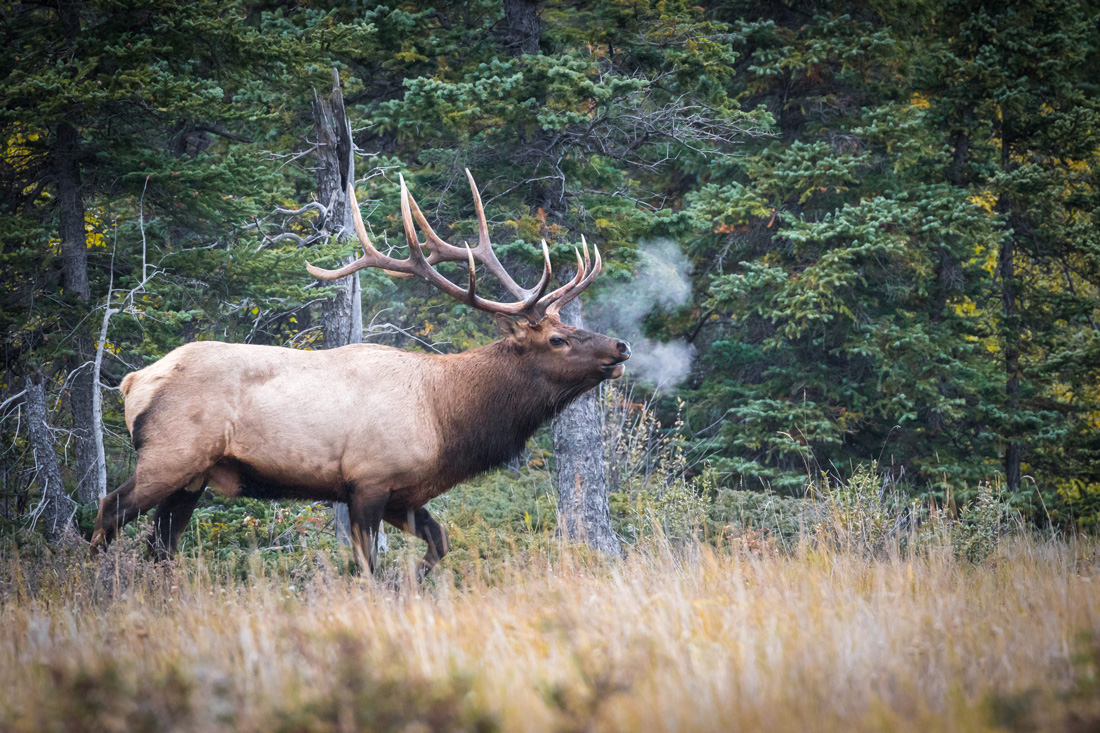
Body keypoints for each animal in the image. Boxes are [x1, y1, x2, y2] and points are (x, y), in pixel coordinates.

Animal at [91, 172, 633, 576]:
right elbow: (369, 567)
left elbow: (440, 543)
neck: (446, 421)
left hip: (194, 478)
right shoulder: (368, 479)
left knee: (161, 546)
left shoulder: (404, 494)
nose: (621, 346)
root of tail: (133, 382)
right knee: (109, 510)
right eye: (556, 339)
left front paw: (416, 578)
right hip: (171, 454)